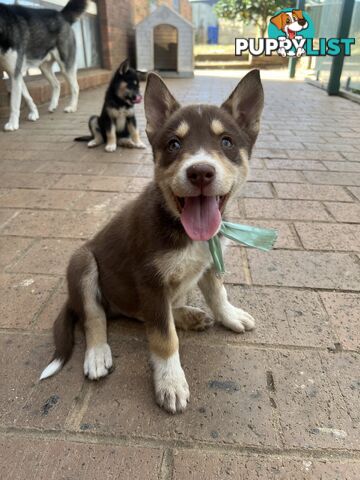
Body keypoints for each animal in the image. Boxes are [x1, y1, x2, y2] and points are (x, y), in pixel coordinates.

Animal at [0, 0, 87, 131]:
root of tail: (61, 14)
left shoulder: (15, 73)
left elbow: (14, 102)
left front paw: (13, 123)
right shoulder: (15, 74)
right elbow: (26, 96)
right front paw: (34, 113)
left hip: (65, 65)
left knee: (75, 87)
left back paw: (71, 107)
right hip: (44, 68)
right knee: (56, 84)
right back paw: (53, 105)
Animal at [40, 69, 264, 414]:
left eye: (226, 142)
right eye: (174, 144)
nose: (201, 172)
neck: (183, 228)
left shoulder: (208, 263)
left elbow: (217, 294)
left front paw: (229, 315)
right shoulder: (150, 281)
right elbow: (163, 336)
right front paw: (170, 383)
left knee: (148, 312)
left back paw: (189, 315)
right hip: (83, 262)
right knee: (96, 315)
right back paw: (98, 354)